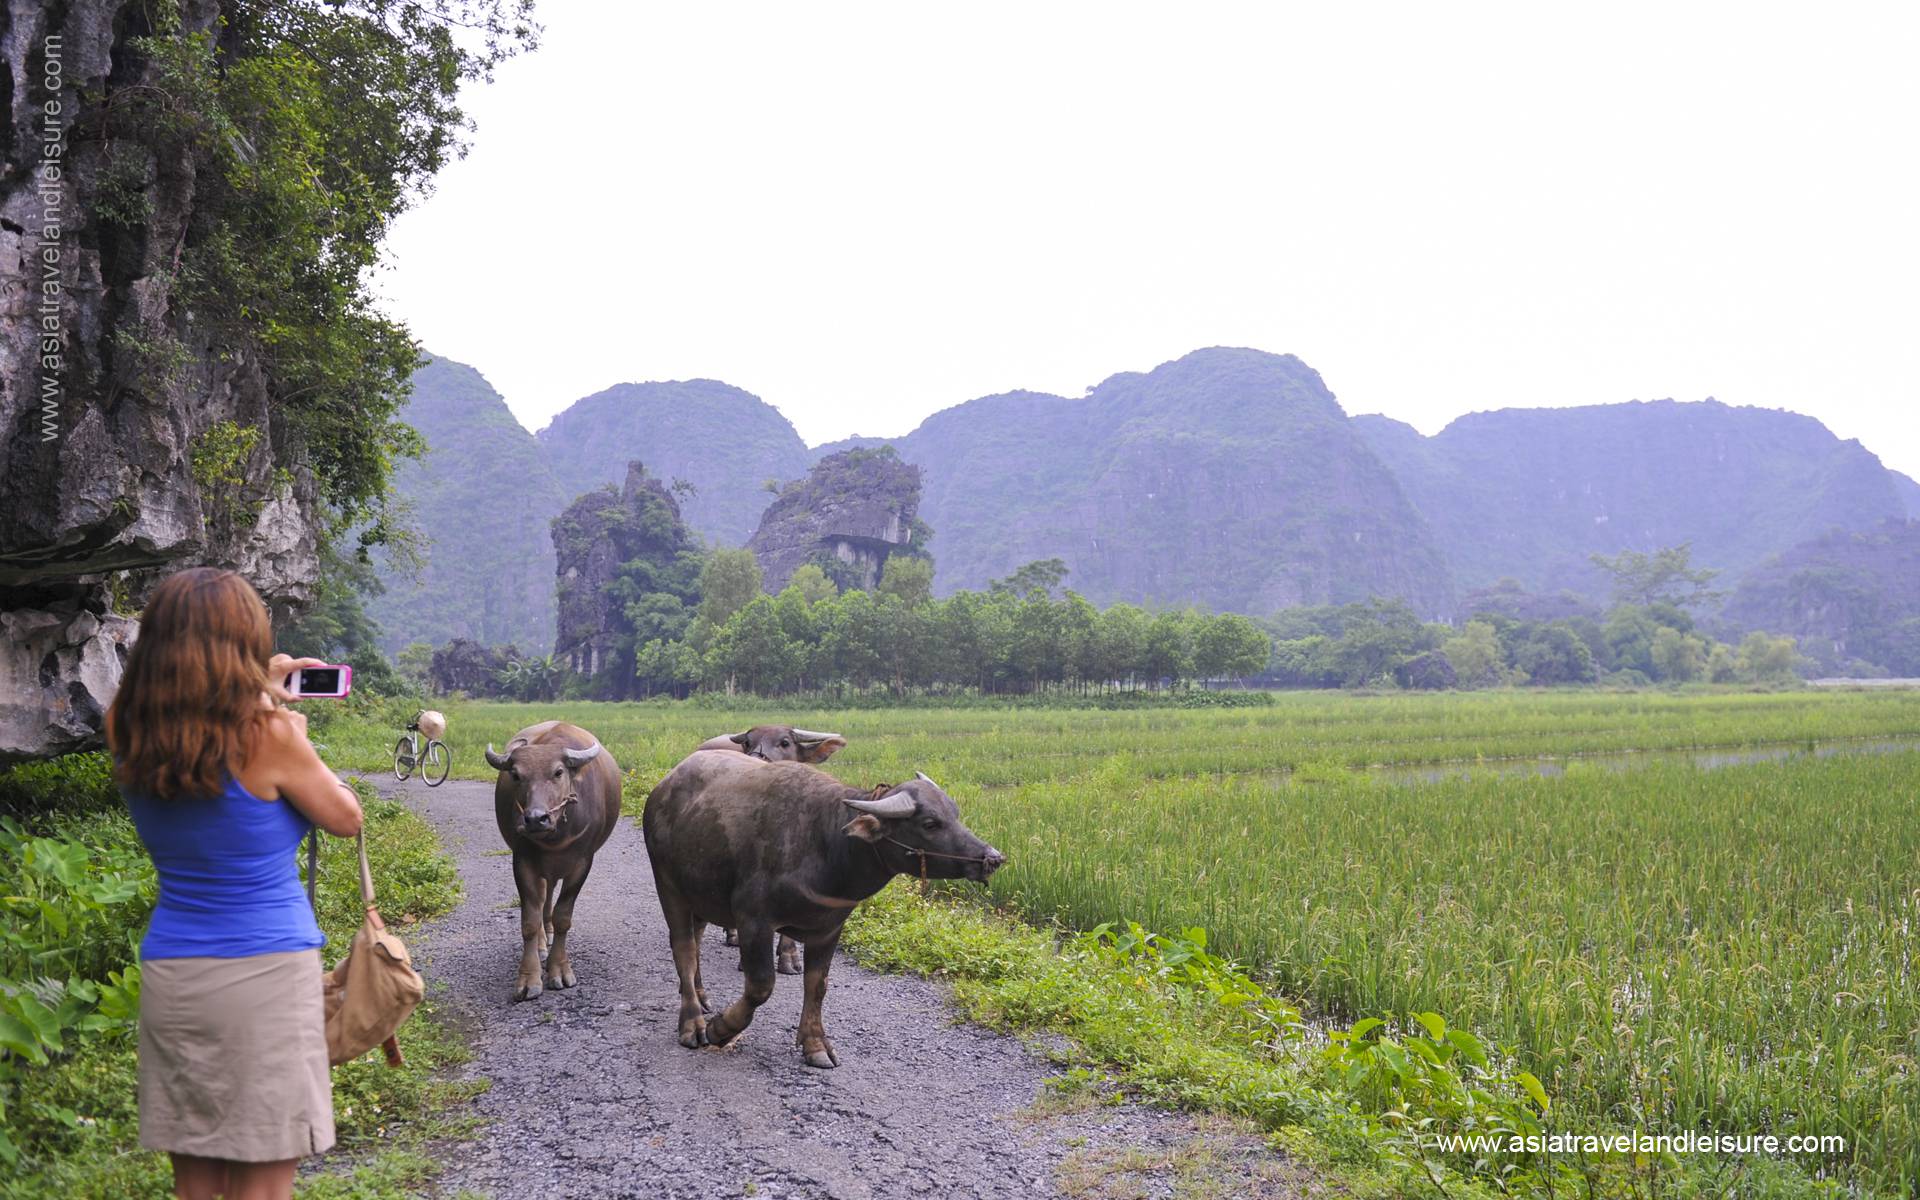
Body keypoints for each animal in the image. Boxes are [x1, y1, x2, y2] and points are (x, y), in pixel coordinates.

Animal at [483, 721, 618, 998]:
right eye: (516, 775)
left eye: (558, 772)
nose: (536, 819)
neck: (555, 836)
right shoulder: (522, 861)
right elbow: (529, 921)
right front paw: (528, 978)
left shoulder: (582, 862)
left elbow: (563, 916)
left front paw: (560, 970)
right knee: (543, 900)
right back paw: (542, 946)